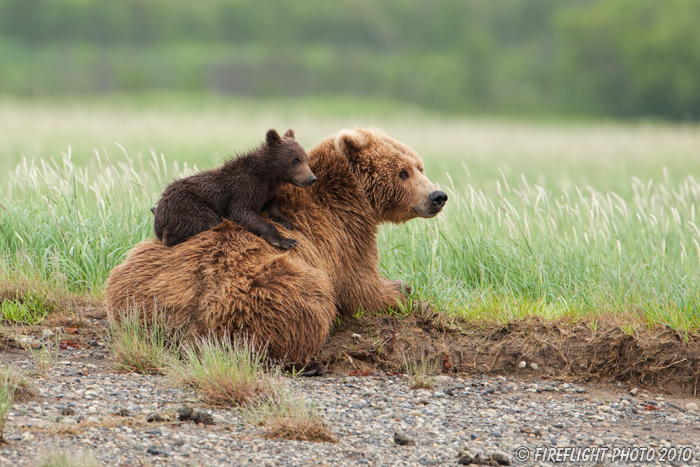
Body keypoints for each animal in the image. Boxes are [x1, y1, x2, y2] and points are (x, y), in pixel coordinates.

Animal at [156, 129, 318, 249]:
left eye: (305, 158)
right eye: (295, 159)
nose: (312, 178)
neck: (267, 176)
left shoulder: (263, 192)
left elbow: (270, 205)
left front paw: (284, 221)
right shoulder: (243, 190)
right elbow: (242, 213)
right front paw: (286, 241)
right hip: (187, 206)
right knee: (206, 220)